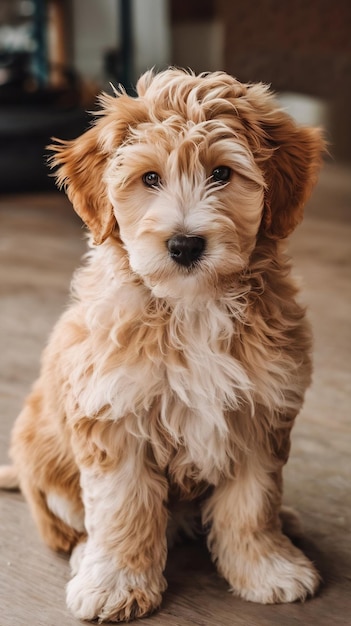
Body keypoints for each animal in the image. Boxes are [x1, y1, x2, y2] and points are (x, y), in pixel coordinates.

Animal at [0, 68, 326, 620]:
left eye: (222, 173)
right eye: (149, 179)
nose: (185, 244)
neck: (191, 308)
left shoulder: (261, 413)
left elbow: (252, 503)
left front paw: (267, 567)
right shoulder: (112, 414)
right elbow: (122, 508)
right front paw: (115, 584)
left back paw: (288, 522)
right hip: (44, 460)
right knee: (74, 527)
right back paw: (87, 557)